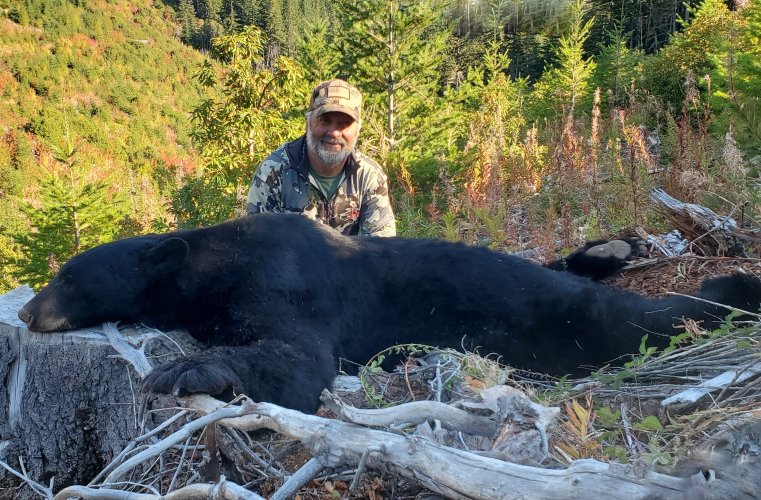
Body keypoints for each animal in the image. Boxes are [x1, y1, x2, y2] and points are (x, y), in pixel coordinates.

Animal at [17, 213, 761, 413]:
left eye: (67, 276)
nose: (27, 312)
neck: (210, 262)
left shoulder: (282, 280)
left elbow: (296, 356)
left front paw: (187, 373)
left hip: (568, 322)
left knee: (641, 318)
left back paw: (734, 286)